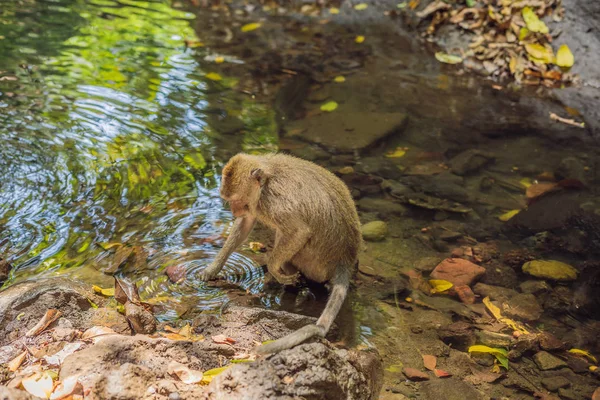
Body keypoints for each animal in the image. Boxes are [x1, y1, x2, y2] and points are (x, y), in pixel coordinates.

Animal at [200, 152, 360, 354]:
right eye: (229, 199)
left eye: (236, 199)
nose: (234, 211)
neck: (265, 182)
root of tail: (345, 259)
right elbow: (246, 222)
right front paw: (213, 268)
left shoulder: (273, 202)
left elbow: (299, 231)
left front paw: (274, 268)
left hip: (314, 263)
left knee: (285, 236)